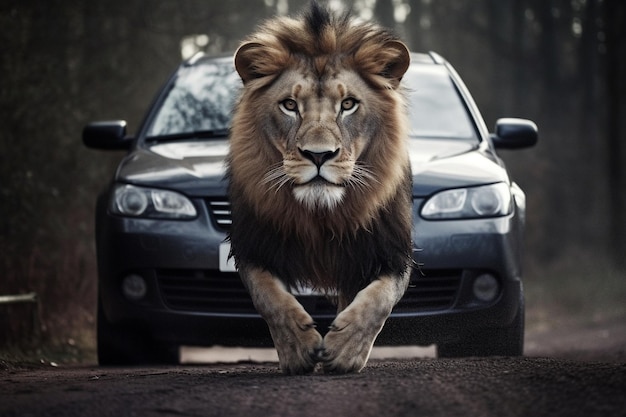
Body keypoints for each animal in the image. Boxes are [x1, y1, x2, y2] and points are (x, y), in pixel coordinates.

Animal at [227, 2, 412, 374]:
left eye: (348, 104)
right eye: (289, 105)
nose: (318, 155)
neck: (320, 216)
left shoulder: (390, 251)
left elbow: (379, 300)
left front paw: (344, 351)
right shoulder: (252, 245)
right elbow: (269, 298)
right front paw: (298, 350)